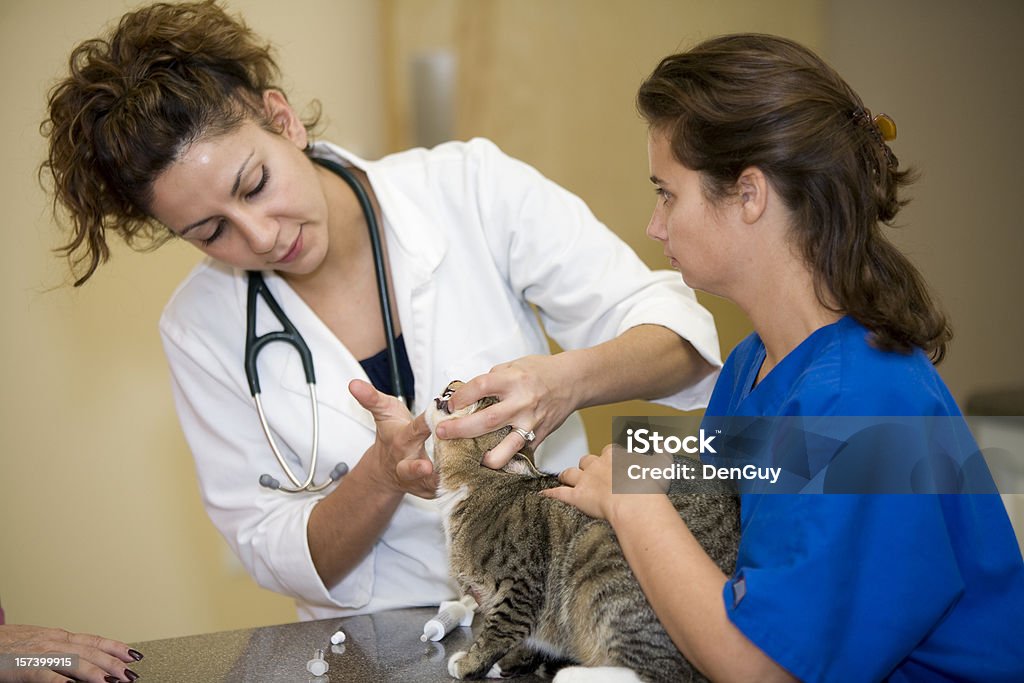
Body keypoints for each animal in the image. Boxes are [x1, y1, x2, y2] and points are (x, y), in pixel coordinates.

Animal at [428, 382, 741, 679]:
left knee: (661, 671)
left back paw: (571, 674)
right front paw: (509, 663)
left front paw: (470, 663)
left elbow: (500, 630)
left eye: (486, 403)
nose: (455, 383)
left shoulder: (522, 583)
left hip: (597, 546)